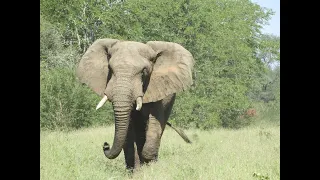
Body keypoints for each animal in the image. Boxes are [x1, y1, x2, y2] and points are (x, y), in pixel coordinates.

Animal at [76, 38, 194, 170]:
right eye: (110, 69)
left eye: (143, 72)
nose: (105, 145)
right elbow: (129, 131)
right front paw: (136, 170)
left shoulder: (158, 88)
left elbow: (155, 121)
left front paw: (150, 164)